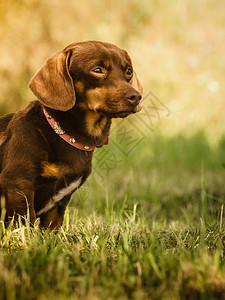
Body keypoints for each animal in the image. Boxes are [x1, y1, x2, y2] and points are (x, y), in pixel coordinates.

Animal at [0, 41, 142, 230]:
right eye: (97, 70)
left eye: (128, 71)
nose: (136, 97)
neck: (63, 134)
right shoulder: (18, 184)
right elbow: (24, 224)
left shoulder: (59, 204)